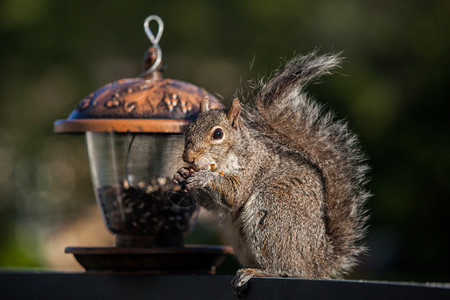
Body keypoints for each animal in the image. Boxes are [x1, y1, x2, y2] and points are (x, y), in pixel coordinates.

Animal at [172, 52, 370, 296]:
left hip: (274, 214)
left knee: (287, 270)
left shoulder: (252, 167)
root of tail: (316, 263)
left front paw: (204, 178)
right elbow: (214, 205)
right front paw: (181, 175)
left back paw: (257, 272)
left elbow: (234, 195)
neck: (224, 160)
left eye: (218, 134)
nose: (188, 157)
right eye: (188, 129)